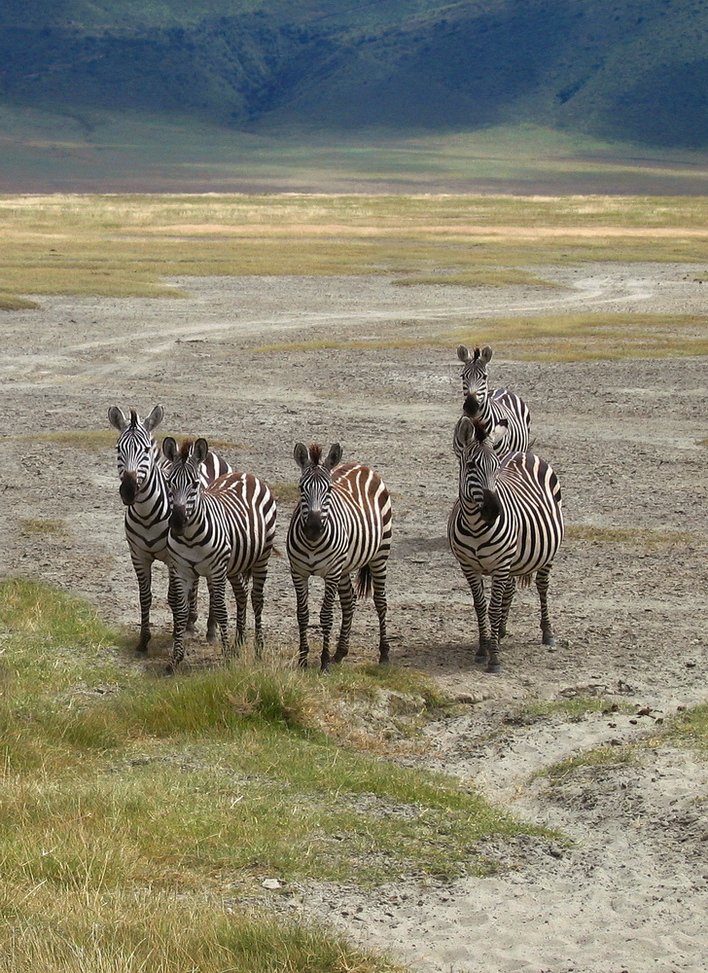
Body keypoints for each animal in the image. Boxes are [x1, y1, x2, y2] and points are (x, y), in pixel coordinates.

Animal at [108, 405, 230, 653]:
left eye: (146, 450)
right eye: (118, 449)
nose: (128, 490)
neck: (146, 514)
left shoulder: (171, 557)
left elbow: (174, 598)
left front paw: (176, 634)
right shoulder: (139, 556)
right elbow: (145, 596)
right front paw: (144, 641)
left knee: (210, 586)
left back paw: (210, 629)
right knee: (195, 582)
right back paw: (191, 621)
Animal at [162, 436, 277, 671]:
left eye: (195, 484)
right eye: (169, 482)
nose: (177, 522)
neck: (190, 537)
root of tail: (246, 474)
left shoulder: (216, 570)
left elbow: (221, 609)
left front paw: (226, 658)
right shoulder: (181, 569)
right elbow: (180, 610)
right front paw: (176, 658)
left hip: (262, 557)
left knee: (257, 599)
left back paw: (258, 649)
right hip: (234, 565)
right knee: (242, 593)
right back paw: (239, 642)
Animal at [287, 442, 392, 671]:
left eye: (329, 489)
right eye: (301, 488)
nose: (313, 528)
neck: (312, 544)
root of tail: (362, 466)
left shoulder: (331, 573)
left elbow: (326, 615)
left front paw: (324, 662)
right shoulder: (298, 572)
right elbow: (302, 614)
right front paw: (303, 660)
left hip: (380, 553)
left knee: (380, 601)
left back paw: (384, 654)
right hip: (344, 565)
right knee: (348, 600)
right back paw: (340, 652)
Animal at [448, 415, 564, 672]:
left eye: (496, 466)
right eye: (471, 466)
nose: (494, 511)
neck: (475, 526)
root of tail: (523, 453)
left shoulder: (500, 564)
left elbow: (492, 608)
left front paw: (494, 659)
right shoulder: (468, 566)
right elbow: (480, 606)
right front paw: (483, 647)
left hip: (547, 554)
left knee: (542, 586)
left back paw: (548, 633)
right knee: (509, 589)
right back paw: (499, 631)